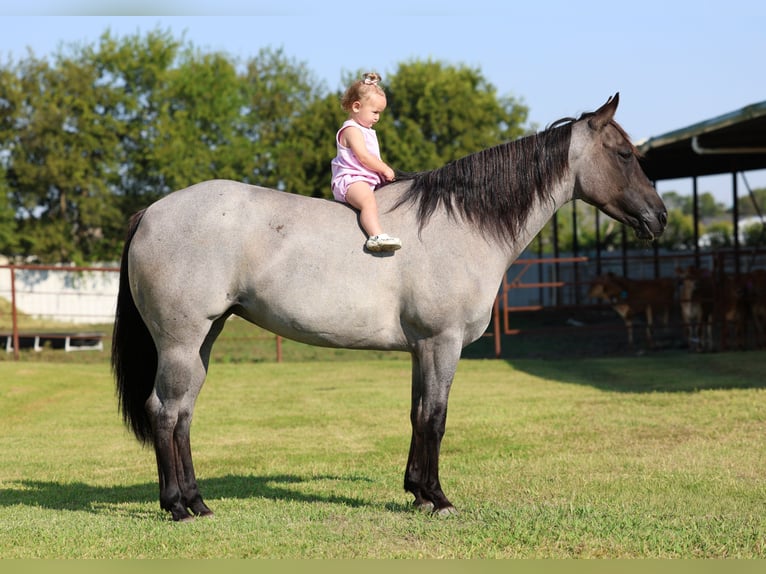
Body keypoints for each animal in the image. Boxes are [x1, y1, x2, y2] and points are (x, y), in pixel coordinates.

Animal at [112, 94, 667, 521]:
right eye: (623, 153)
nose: (659, 217)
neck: (461, 224)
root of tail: (152, 212)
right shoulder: (442, 343)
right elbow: (436, 417)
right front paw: (438, 498)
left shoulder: (423, 348)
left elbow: (418, 414)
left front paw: (418, 492)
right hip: (181, 341)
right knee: (165, 411)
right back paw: (178, 507)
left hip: (203, 340)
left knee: (183, 413)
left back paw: (197, 501)